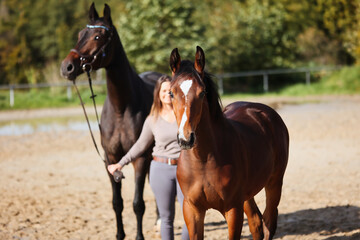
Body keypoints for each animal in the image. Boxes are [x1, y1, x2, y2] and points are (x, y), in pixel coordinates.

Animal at [59, 2, 161, 239]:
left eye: (98, 36)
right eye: (80, 34)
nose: (67, 67)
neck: (121, 109)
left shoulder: (140, 158)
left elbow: (137, 204)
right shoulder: (110, 159)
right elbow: (117, 203)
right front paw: (120, 234)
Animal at [169, 46, 290, 239]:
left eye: (202, 93)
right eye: (171, 93)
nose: (186, 138)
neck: (203, 160)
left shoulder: (232, 209)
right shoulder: (192, 210)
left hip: (274, 183)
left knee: (269, 222)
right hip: (248, 194)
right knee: (256, 222)